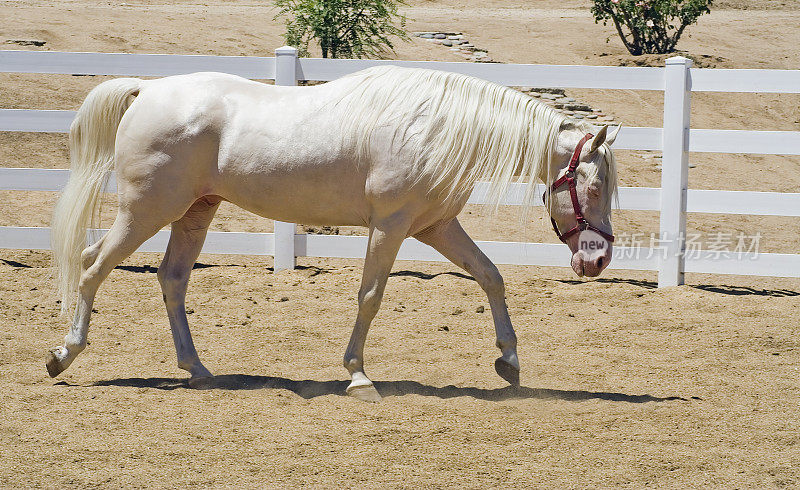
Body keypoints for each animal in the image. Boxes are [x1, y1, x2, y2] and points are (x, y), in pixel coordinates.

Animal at [47, 66, 620, 402]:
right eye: (592, 187)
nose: (596, 260)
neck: (433, 128)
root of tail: (149, 90)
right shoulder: (390, 227)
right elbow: (370, 295)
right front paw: (358, 376)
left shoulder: (435, 227)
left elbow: (491, 276)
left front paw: (509, 361)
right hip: (147, 211)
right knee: (94, 263)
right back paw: (64, 355)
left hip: (195, 213)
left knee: (171, 278)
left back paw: (197, 367)